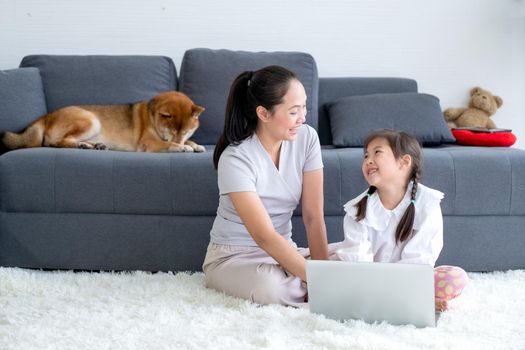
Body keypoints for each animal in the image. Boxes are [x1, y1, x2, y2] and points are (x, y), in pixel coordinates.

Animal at [2, 91, 207, 153]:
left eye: (186, 131)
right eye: (173, 132)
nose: (180, 139)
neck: (152, 116)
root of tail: (47, 115)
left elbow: (191, 141)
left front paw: (194, 144)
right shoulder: (148, 143)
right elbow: (169, 145)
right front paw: (182, 147)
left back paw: (92, 145)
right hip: (92, 120)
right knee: (56, 142)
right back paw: (84, 145)